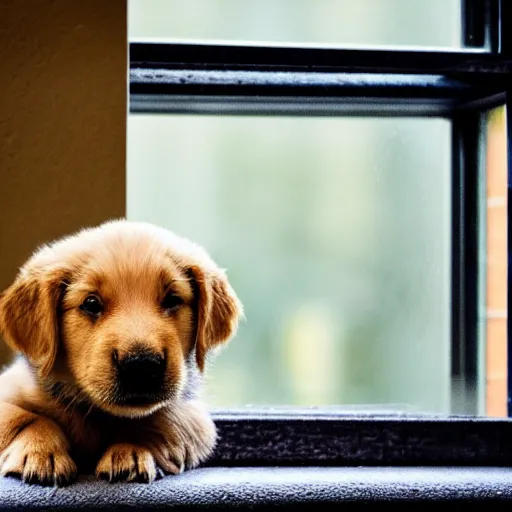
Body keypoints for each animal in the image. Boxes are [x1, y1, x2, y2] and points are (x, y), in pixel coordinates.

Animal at [0, 218, 242, 486]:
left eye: (172, 300)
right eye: (91, 304)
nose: (141, 366)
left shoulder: (193, 415)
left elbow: (161, 422)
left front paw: (130, 449)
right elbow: (26, 418)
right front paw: (41, 453)